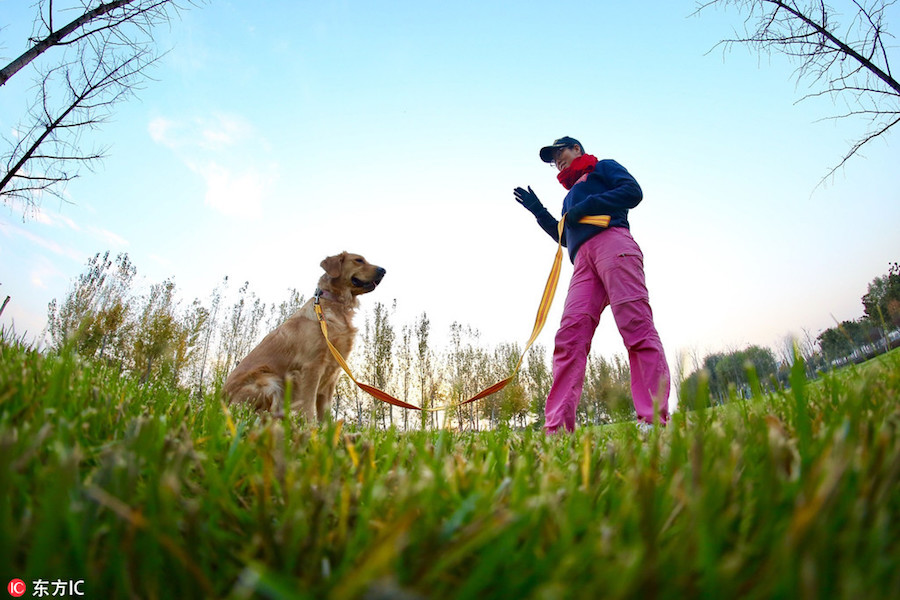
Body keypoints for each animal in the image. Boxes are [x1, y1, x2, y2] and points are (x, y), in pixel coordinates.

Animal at [223, 253, 384, 422]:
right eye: (358, 260)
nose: (383, 270)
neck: (336, 305)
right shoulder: (311, 367)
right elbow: (308, 404)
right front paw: (309, 426)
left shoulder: (332, 374)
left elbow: (325, 413)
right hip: (269, 380)